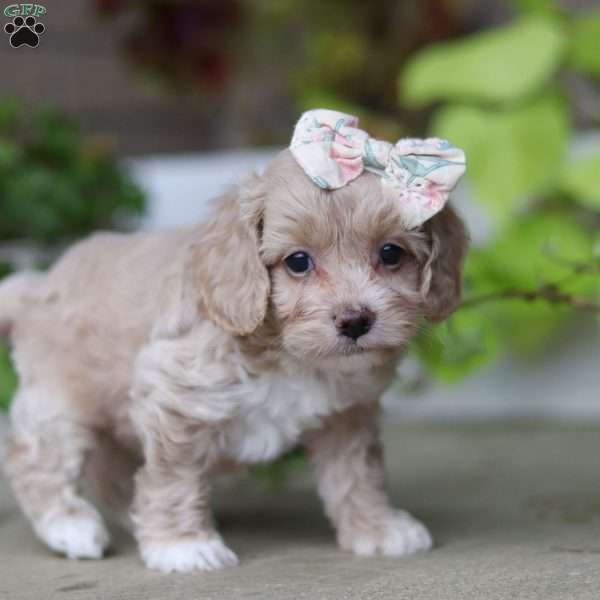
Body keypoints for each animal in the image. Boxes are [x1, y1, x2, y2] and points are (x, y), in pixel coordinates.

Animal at [0, 120, 468, 572]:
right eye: (298, 262)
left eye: (391, 253)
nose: (355, 321)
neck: (289, 356)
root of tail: (37, 283)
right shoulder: (174, 397)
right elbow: (174, 477)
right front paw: (183, 546)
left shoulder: (347, 414)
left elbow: (358, 474)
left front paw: (377, 527)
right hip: (60, 404)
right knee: (34, 460)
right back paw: (70, 526)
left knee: (109, 471)